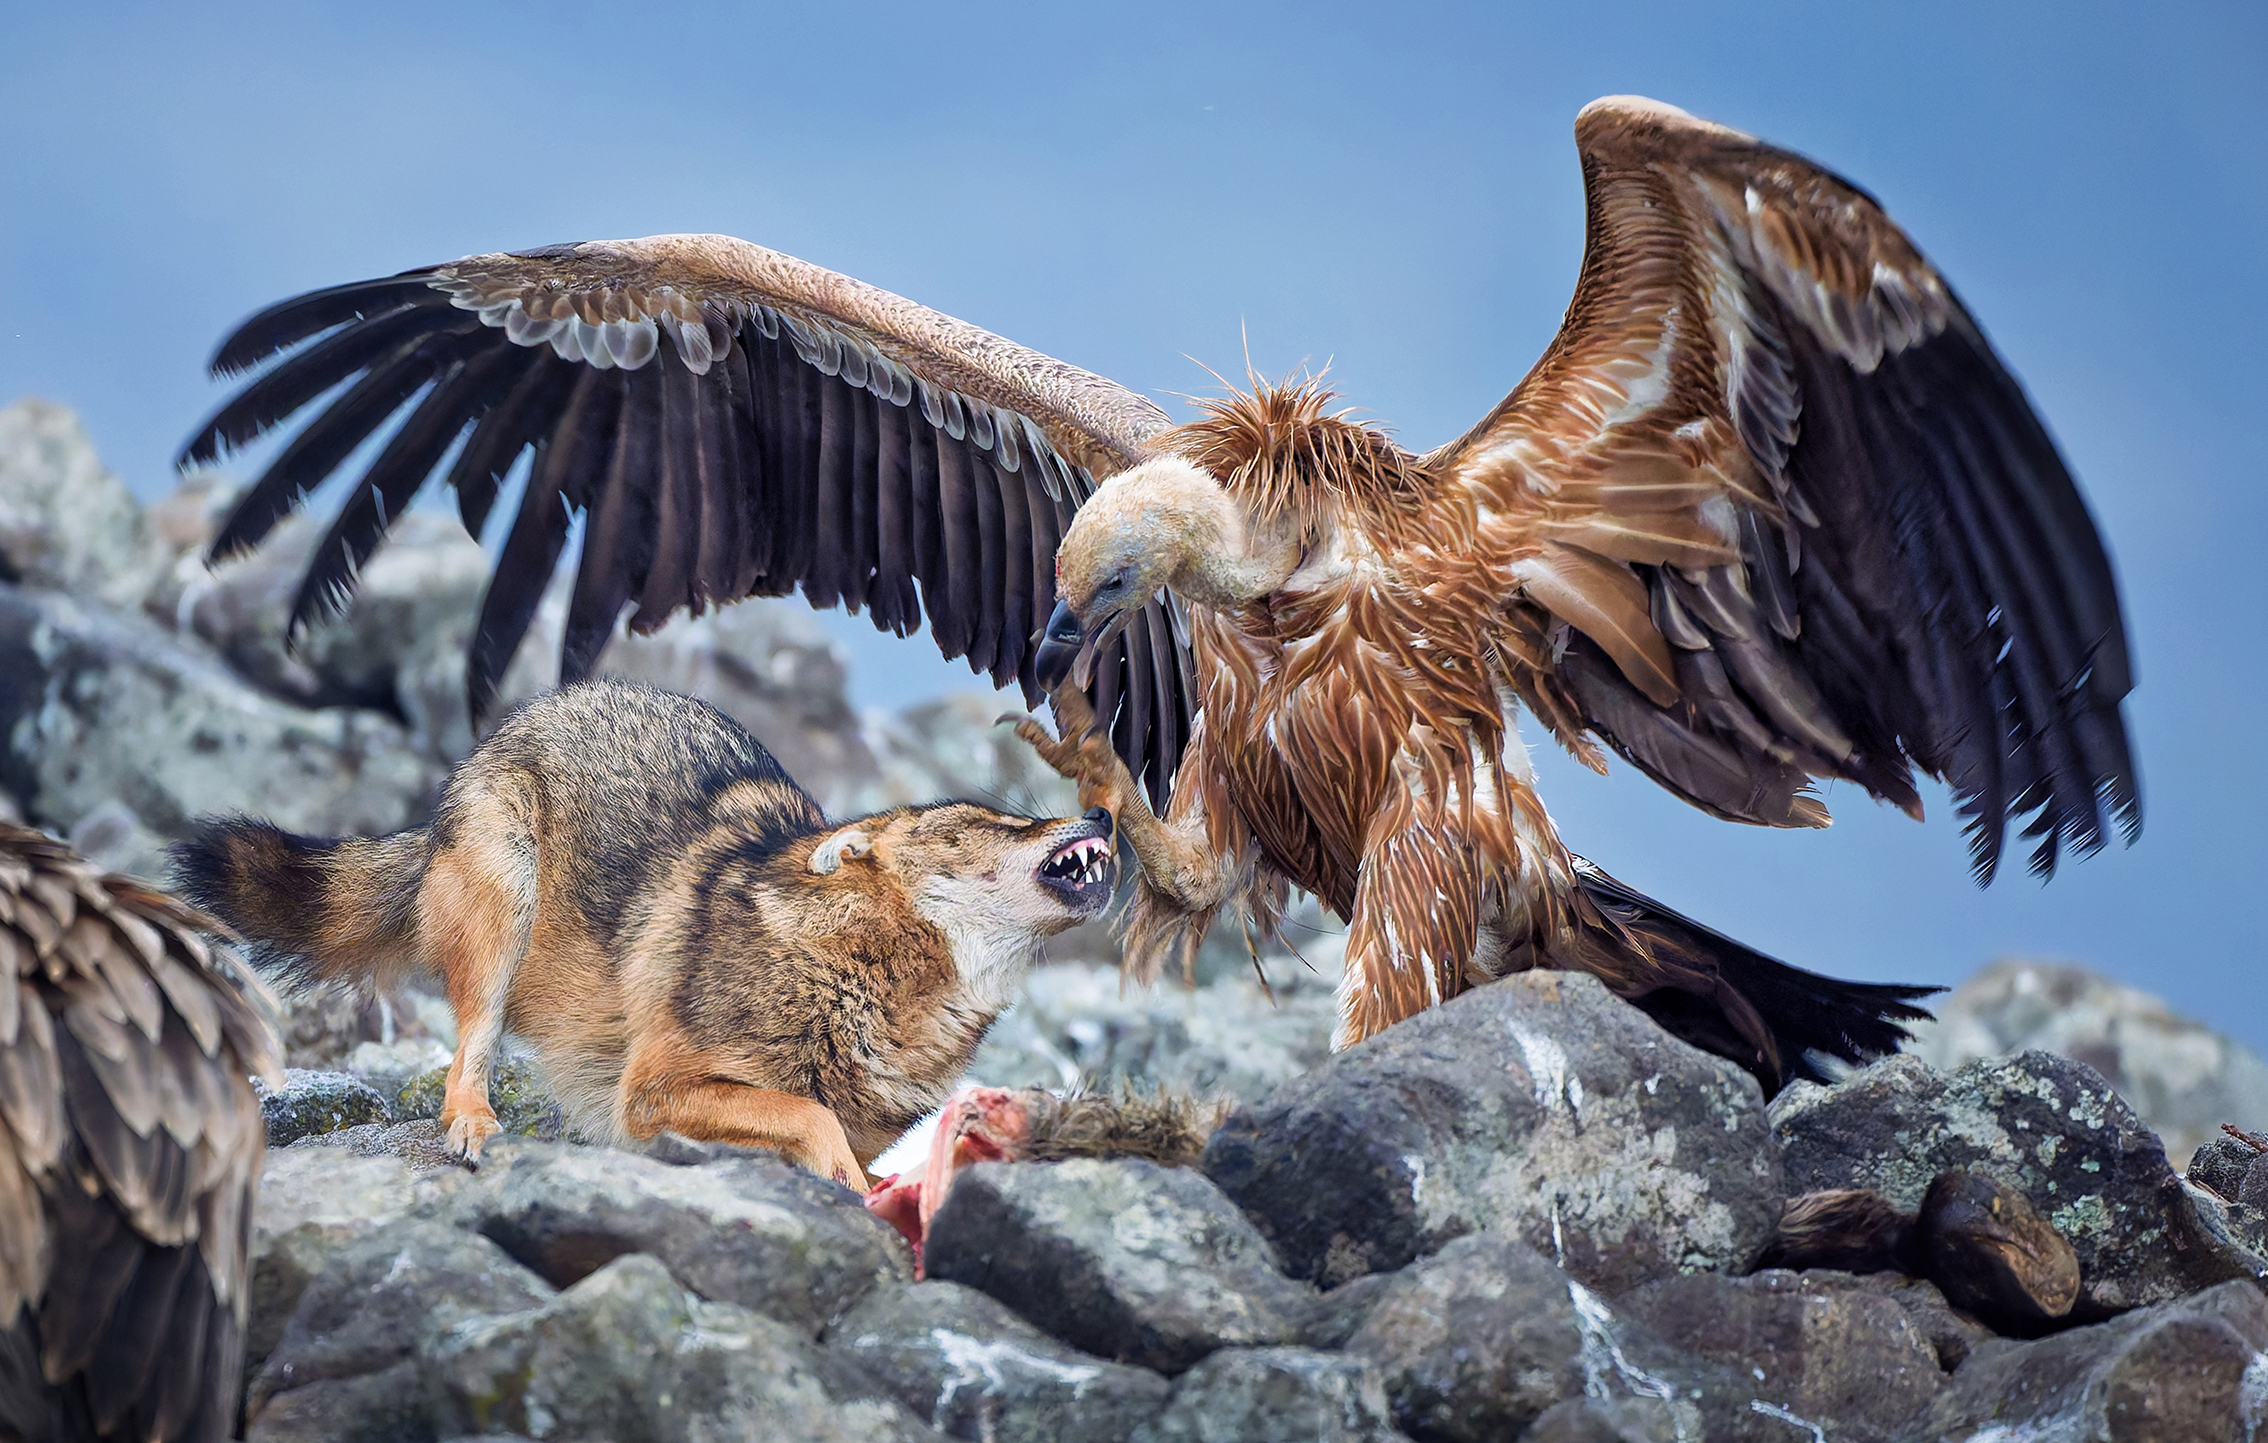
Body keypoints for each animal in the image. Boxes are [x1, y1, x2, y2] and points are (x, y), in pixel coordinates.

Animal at [172, 678, 1116, 1190]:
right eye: (994, 818)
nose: (1107, 811)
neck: (856, 979)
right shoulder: (653, 1090)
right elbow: (808, 1113)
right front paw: (848, 1188)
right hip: (506, 899)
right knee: (468, 1047)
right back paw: (473, 1124)